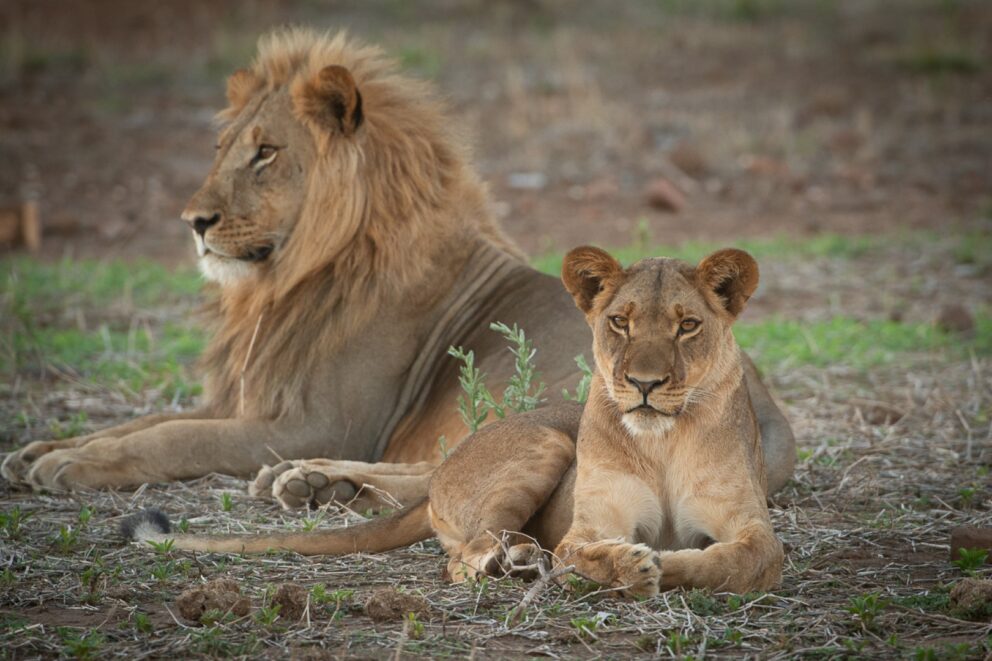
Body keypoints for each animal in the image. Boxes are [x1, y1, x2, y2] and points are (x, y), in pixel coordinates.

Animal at [1, 29, 794, 517]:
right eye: (222, 148)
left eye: (265, 152)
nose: (192, 220)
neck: (283, 283)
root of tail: (770, 415)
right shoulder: (246, 399)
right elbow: (149, 419)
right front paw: (44, 449)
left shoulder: (323, 421)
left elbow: (173, 440)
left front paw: (67, 468)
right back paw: (317, 484)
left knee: (473, 466)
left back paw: (314, 480)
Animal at [125, 246, 784, 596]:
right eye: (619, 322)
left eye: (687, 326)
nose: (645, 384)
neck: (663, 443)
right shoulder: (588, 527)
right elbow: (583, 552)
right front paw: (632, 564)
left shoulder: (753, 529)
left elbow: (734, 560)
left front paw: (666, 565)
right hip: (544, 443)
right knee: (464, 555)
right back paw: (513, 561)